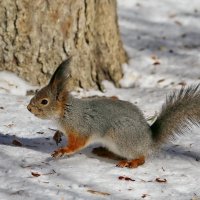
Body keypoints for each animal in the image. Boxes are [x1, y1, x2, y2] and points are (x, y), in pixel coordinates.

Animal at [26, 57, 200, 169]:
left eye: (44, 101)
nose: (28, 108)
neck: (66, 113)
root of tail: (148, 140)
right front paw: (57, 135)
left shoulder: (81, 128)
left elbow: (78, 144)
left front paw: (63, 151)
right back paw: (103, 152)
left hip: (121, 137)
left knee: (141, 157)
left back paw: (130, 163)